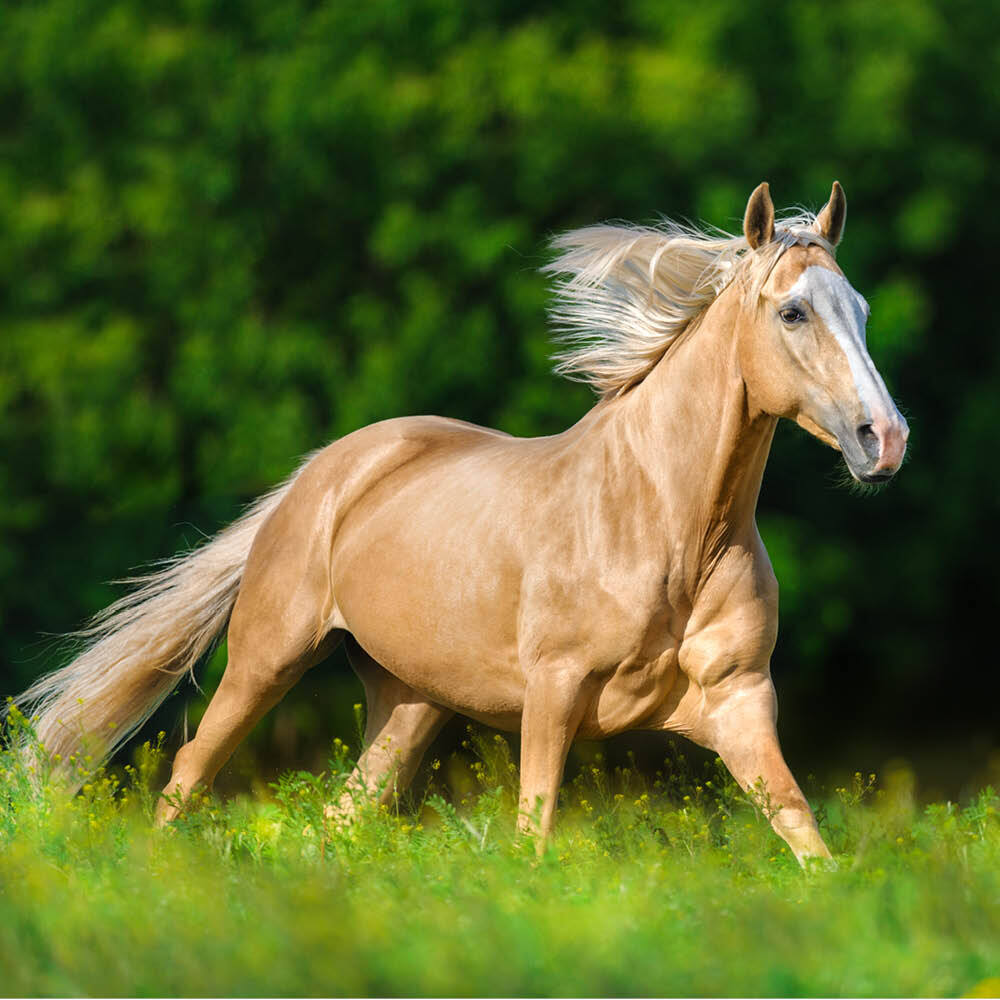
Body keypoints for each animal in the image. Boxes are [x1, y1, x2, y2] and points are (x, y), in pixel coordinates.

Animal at [14, 181, 908, 864]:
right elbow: (533, 835)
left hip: (409, 701)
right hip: (267, 659)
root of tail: (323, 472)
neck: (670, 528)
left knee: (343, 813)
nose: (885, 439)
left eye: (862, 308)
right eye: (792, 313)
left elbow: (805, 835)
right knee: (190, 773)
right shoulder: (553, 692)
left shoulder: (739, 700)